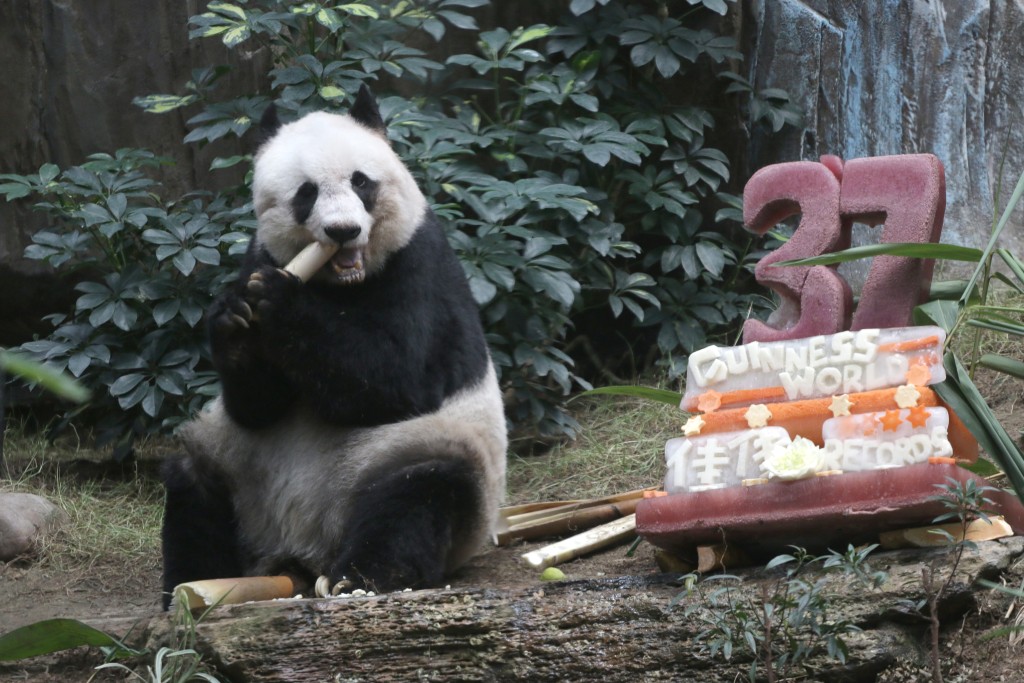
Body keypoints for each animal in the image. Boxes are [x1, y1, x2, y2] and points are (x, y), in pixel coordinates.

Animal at [159, 87, 507, 610]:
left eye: (361, 181)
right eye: (306, 193)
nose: (343, 231)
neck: (341, 283)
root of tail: (302, 548)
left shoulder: (420, 263)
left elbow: (398, 379)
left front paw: (281, 300)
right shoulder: (259, 254)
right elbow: (256, 407)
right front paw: (235, 320)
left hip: (408, 454)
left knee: (421, 490)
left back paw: (364, 577)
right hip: (239, 467)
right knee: (193, 483)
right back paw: (193, 585)